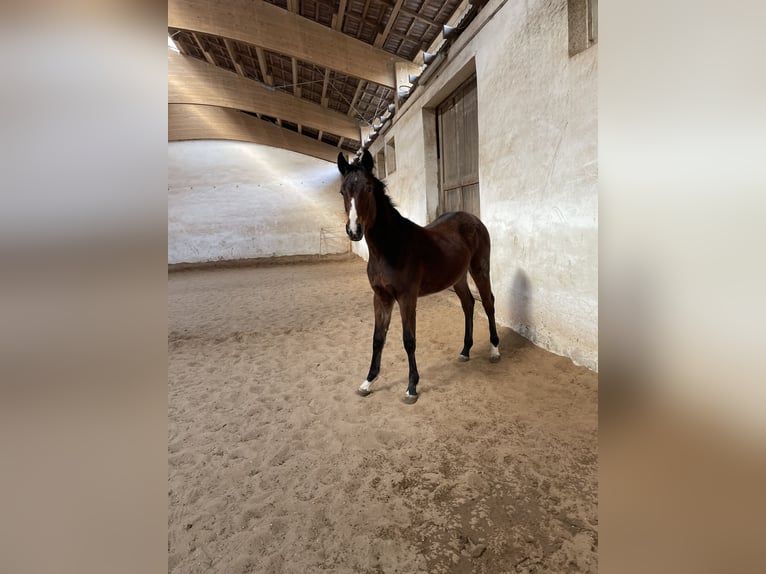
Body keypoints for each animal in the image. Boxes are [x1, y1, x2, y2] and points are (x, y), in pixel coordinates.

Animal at [337, 149, 500, 404]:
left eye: (369, 188)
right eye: (343, 191)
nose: (354, 230)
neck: (390, 247)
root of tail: (474, 219)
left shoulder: (407, 297)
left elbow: (409, 340)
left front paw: (411, 387)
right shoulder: (381, 297)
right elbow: (377, 338)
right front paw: (368, 382)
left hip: (480, 269)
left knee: (488, 303)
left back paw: (494, 350)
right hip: (458, 277)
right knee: (468, 304)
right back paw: (465, 351)